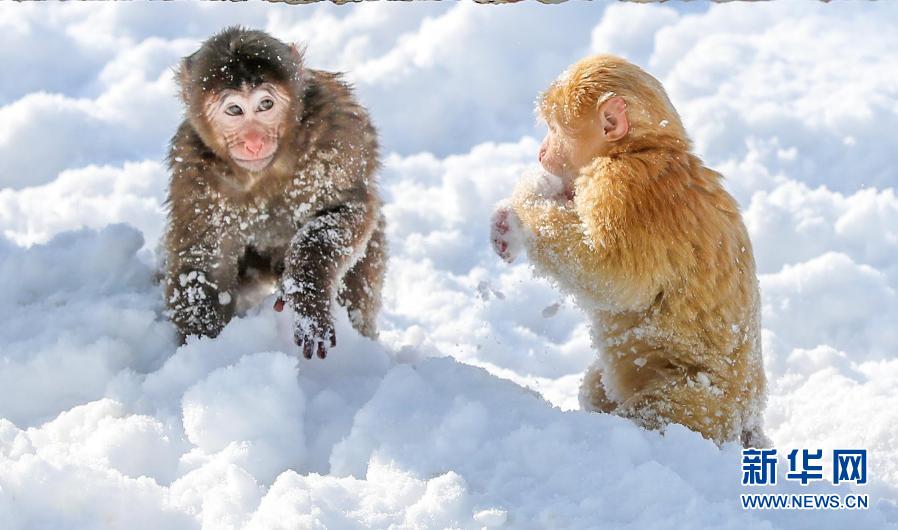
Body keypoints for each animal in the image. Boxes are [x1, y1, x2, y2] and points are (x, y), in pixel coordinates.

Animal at [163, 27, 384, 358]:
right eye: (235, 110)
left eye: (265, 105)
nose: (254, 142)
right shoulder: (193, 170)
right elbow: (203, 263)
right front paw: (206, 350)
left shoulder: (334, 133)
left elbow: (350, 208)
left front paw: (306, 291)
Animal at [490, 54, 764, 446]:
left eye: (554, 130)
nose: (541, 153)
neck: (644, 148)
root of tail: (748, 419)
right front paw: (505, 225)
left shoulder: (624, 187)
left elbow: (608, 273)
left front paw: (527, 197)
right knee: (595, 386)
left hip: (704, 405)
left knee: (660, 411)